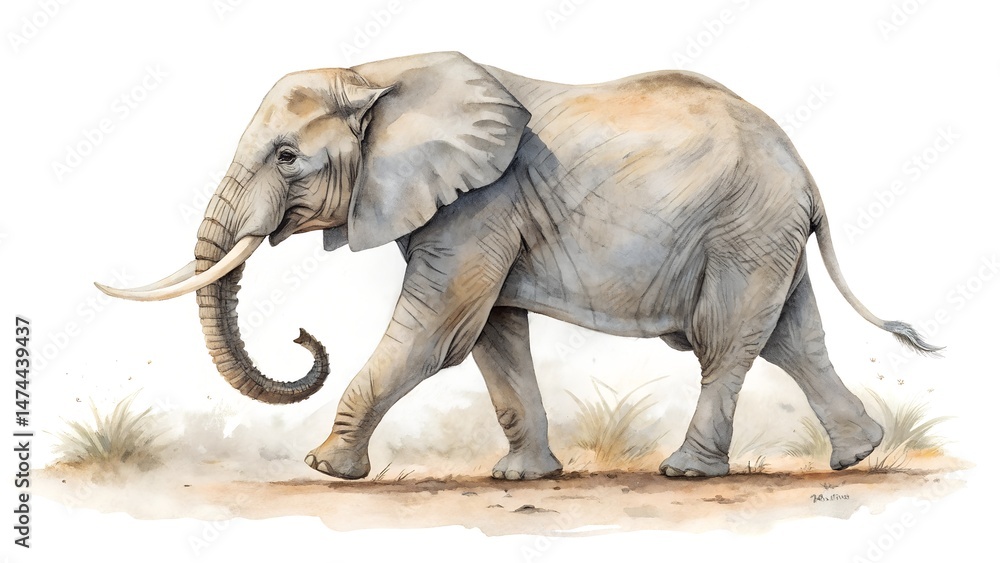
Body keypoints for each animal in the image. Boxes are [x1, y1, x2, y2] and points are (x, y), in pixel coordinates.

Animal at [98, 51, 940, 480]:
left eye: (285, 157)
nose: (306, 336)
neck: (376, 72)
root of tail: (804, 169)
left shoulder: (480, 204)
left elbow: (438, 329)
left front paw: (326, 467)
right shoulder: (481, 213)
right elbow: (492, 336)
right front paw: (525, 478)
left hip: (745, 228)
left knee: (728, 341)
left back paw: (687, 471)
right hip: (763, 233)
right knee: (791, 338)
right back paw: (859, 455)